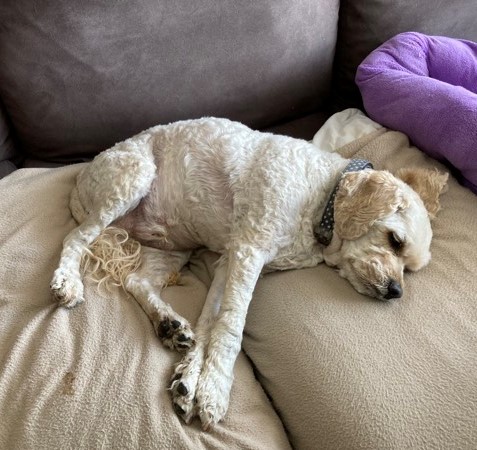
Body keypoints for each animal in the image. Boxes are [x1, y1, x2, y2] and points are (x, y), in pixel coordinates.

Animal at [50, 117, 448, 429]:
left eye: (411, 269)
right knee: (75, 238)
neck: (322, 194)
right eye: (394, 240)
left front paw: (192, 381)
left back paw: (169, 324)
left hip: (174, 247)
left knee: (136, 280)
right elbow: (230, 328)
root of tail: (81, 178)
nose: (396, 291)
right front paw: (215, 390)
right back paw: (67, 282)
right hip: (130, 180)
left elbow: (210, 323)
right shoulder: (248, 251)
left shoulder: (229, 261)